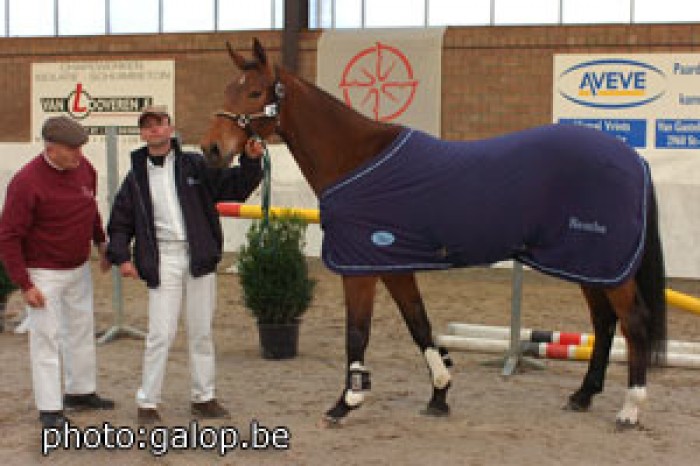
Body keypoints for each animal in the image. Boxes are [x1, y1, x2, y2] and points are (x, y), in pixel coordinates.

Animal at [201, 38, 667, 429]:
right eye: (226, 90)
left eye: (254, 93)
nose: (212, 150)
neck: (356, 158)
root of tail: (633, 158)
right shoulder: (392, 264)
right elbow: (419, 325)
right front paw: (439, 393)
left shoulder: (360, 269)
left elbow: (357, 333)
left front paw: (346, 402)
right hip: (588, 264)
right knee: (605, 323)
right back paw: (583, 395)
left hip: (605, 266)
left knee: (633, 323)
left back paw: (630, 408)